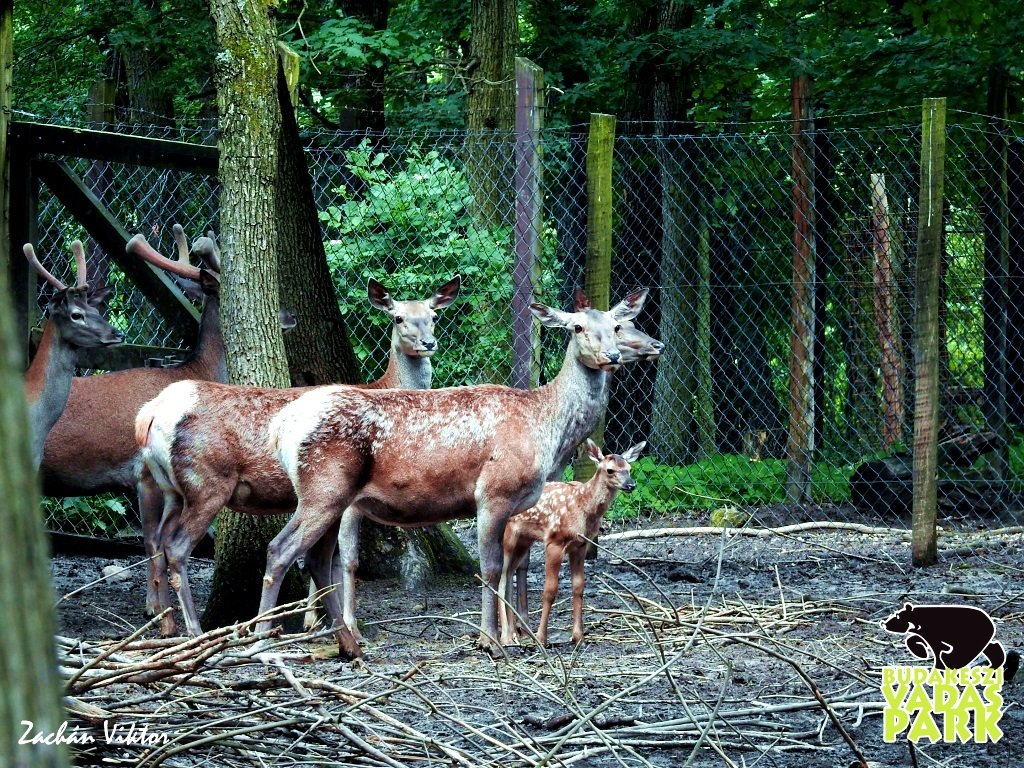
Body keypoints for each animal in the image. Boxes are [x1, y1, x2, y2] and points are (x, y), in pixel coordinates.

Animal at [134, 274, 462, 638]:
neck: (384, 389)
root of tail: (150, 413)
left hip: (170, 488)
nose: (428, 343)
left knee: (156, 540)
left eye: (433, 316)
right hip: (206, 482)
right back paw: (194, 629)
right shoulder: (347, 495)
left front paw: (314, 619)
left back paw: (166, 624)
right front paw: (346, 624)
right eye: (398, 318)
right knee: (176, 547)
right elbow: (347, 558)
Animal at [497, 438, 647, 651]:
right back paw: (505, 637)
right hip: (508, 535)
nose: (631, 485)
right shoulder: (554, 540)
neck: (582, 506)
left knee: (509, 574)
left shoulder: (581, 545)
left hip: (524, 539)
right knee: (500, 578)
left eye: (629, 468)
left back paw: (514, 633)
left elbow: (578, 586)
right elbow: (550, 590)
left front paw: (578, 637)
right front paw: (541, 638)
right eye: (610, 470)